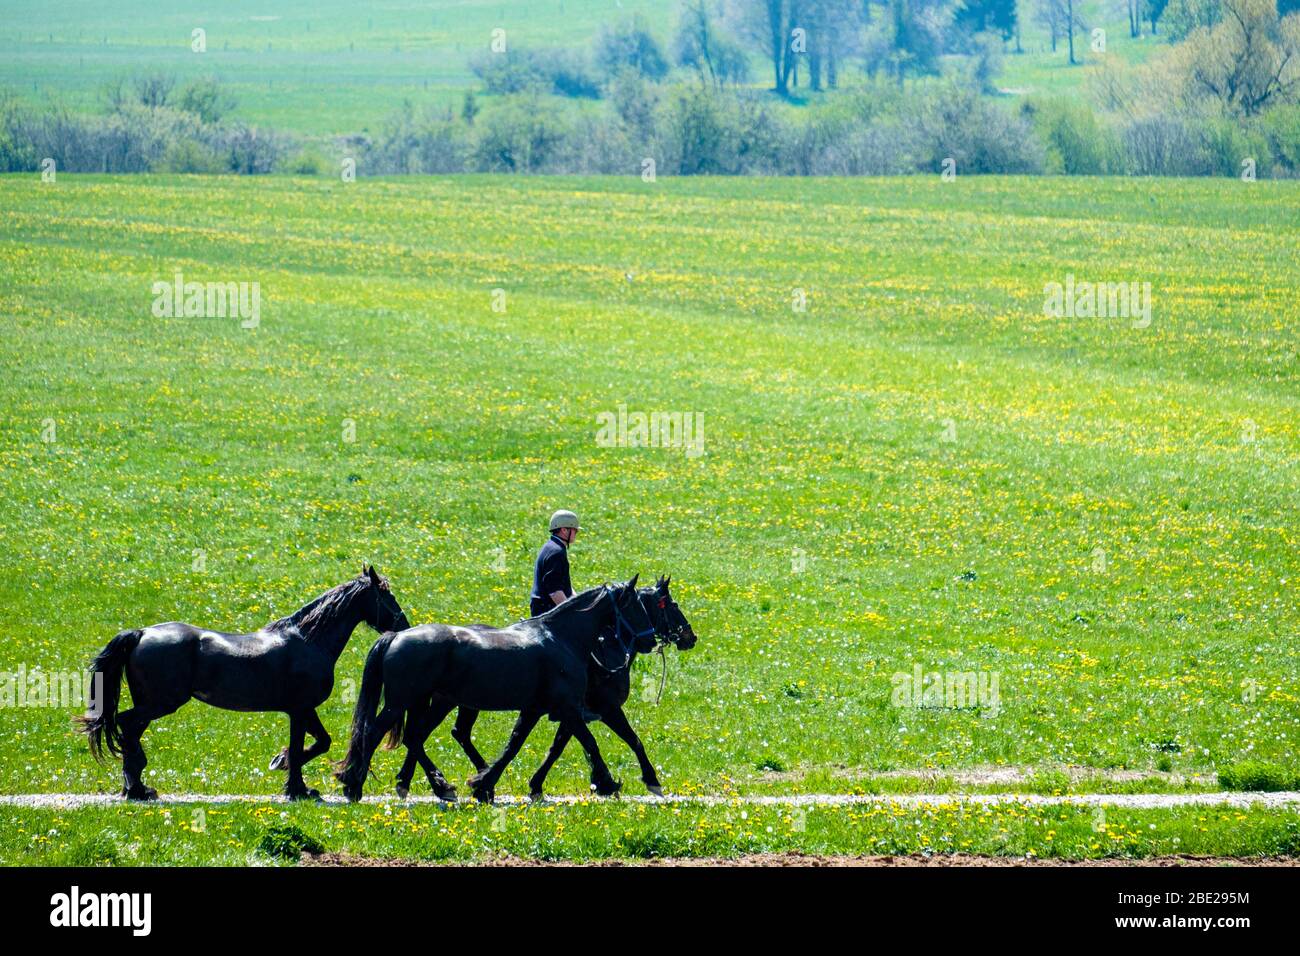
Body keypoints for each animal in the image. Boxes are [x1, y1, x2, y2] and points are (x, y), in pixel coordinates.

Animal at [77, 565, 410, 801]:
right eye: (387, 596)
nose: (404, 626)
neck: (309, 640)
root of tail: (141, 633)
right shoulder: (300, 709)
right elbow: (304, 746)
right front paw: (295, 784)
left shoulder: (302, 710)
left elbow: (318, 742)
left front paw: (287, 772)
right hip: (159, 703)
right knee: (125, 724)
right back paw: (136, 787)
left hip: (151, 704)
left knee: (128, 729)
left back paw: (136, 787)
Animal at [335, 577, 654, 804]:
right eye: (637, 606)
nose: (650, 640)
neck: (561, 638)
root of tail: (396, 636)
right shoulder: (570, 709)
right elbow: (591, 743)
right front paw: (610, 783)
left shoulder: (537, 709)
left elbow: (514, 746)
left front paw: (484, 785)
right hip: (402, 703)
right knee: (377, 733)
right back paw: (354, 785)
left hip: (431, 703)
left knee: (414, 738)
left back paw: (436, 786)